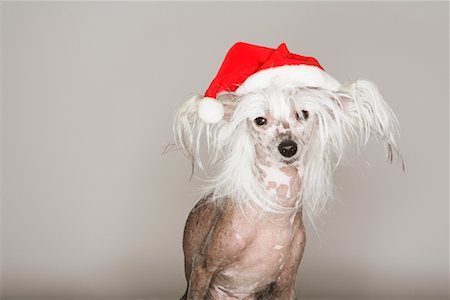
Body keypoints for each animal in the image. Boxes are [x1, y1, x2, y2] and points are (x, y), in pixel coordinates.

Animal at [170, 42, 400, 300]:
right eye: (260, 120)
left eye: (303, 114)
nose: (288, 147)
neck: (273, 213)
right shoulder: (202, 268)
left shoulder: (286, 284)